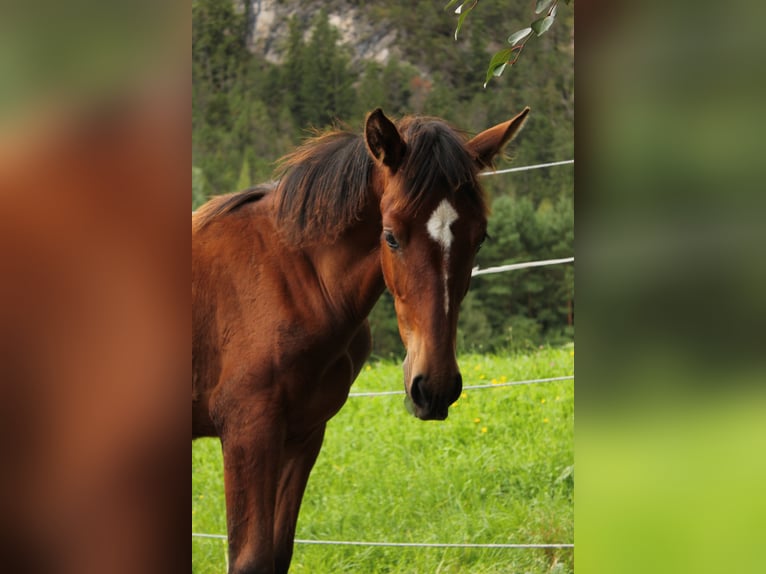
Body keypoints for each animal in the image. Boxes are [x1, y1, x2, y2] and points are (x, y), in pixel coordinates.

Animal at [192, 107, 529, 574]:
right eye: (390, 235)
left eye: (480, 237)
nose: (435, 387)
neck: (292, 278)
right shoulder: (248, 430)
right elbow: (250, 559)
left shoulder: (302, 435)